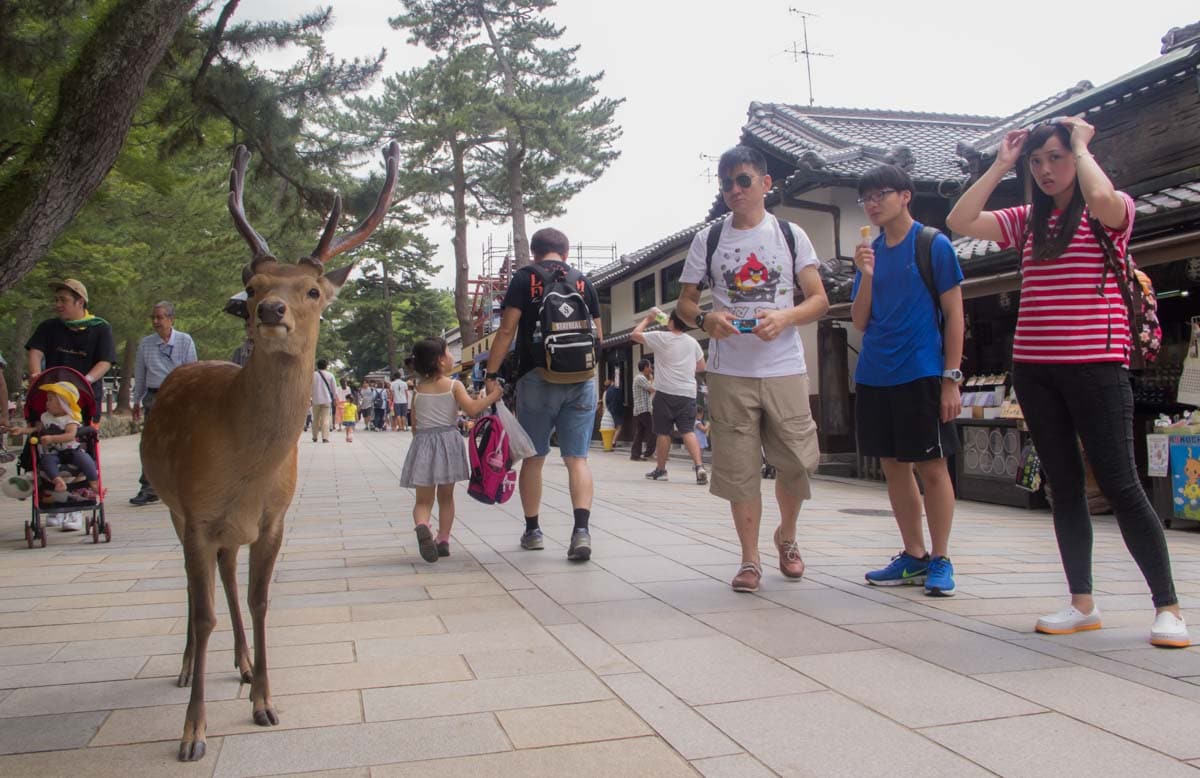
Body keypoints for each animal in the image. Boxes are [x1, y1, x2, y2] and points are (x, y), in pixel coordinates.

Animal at [142, 139, 400, 758]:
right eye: (255, 287)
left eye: (312, 290)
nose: (270, 310)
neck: (245, 467)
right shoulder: (196, 514)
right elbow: (203, 613)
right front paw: (193, 732)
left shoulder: (273, 519)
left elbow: (260, 601)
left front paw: (263, 701)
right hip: (173, 507)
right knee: (197, 591)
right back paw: (186, 667)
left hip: (228, 530)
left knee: (228, 574)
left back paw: (239, 664)